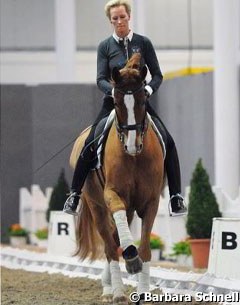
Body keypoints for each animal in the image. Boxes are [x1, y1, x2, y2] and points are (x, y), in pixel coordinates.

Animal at [69, 53, 165, 302]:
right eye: (117, 103)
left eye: (143, 101)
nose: (132, 145)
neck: (134, 158)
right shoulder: (112, 194)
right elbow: (119, 240)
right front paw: (131, 259)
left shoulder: (151, 201)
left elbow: (145, 248)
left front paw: (143, 291)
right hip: (96, 206)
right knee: (110, 246)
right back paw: (115, 291)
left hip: (129, 208)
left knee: (114, 238)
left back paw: (110, 284)